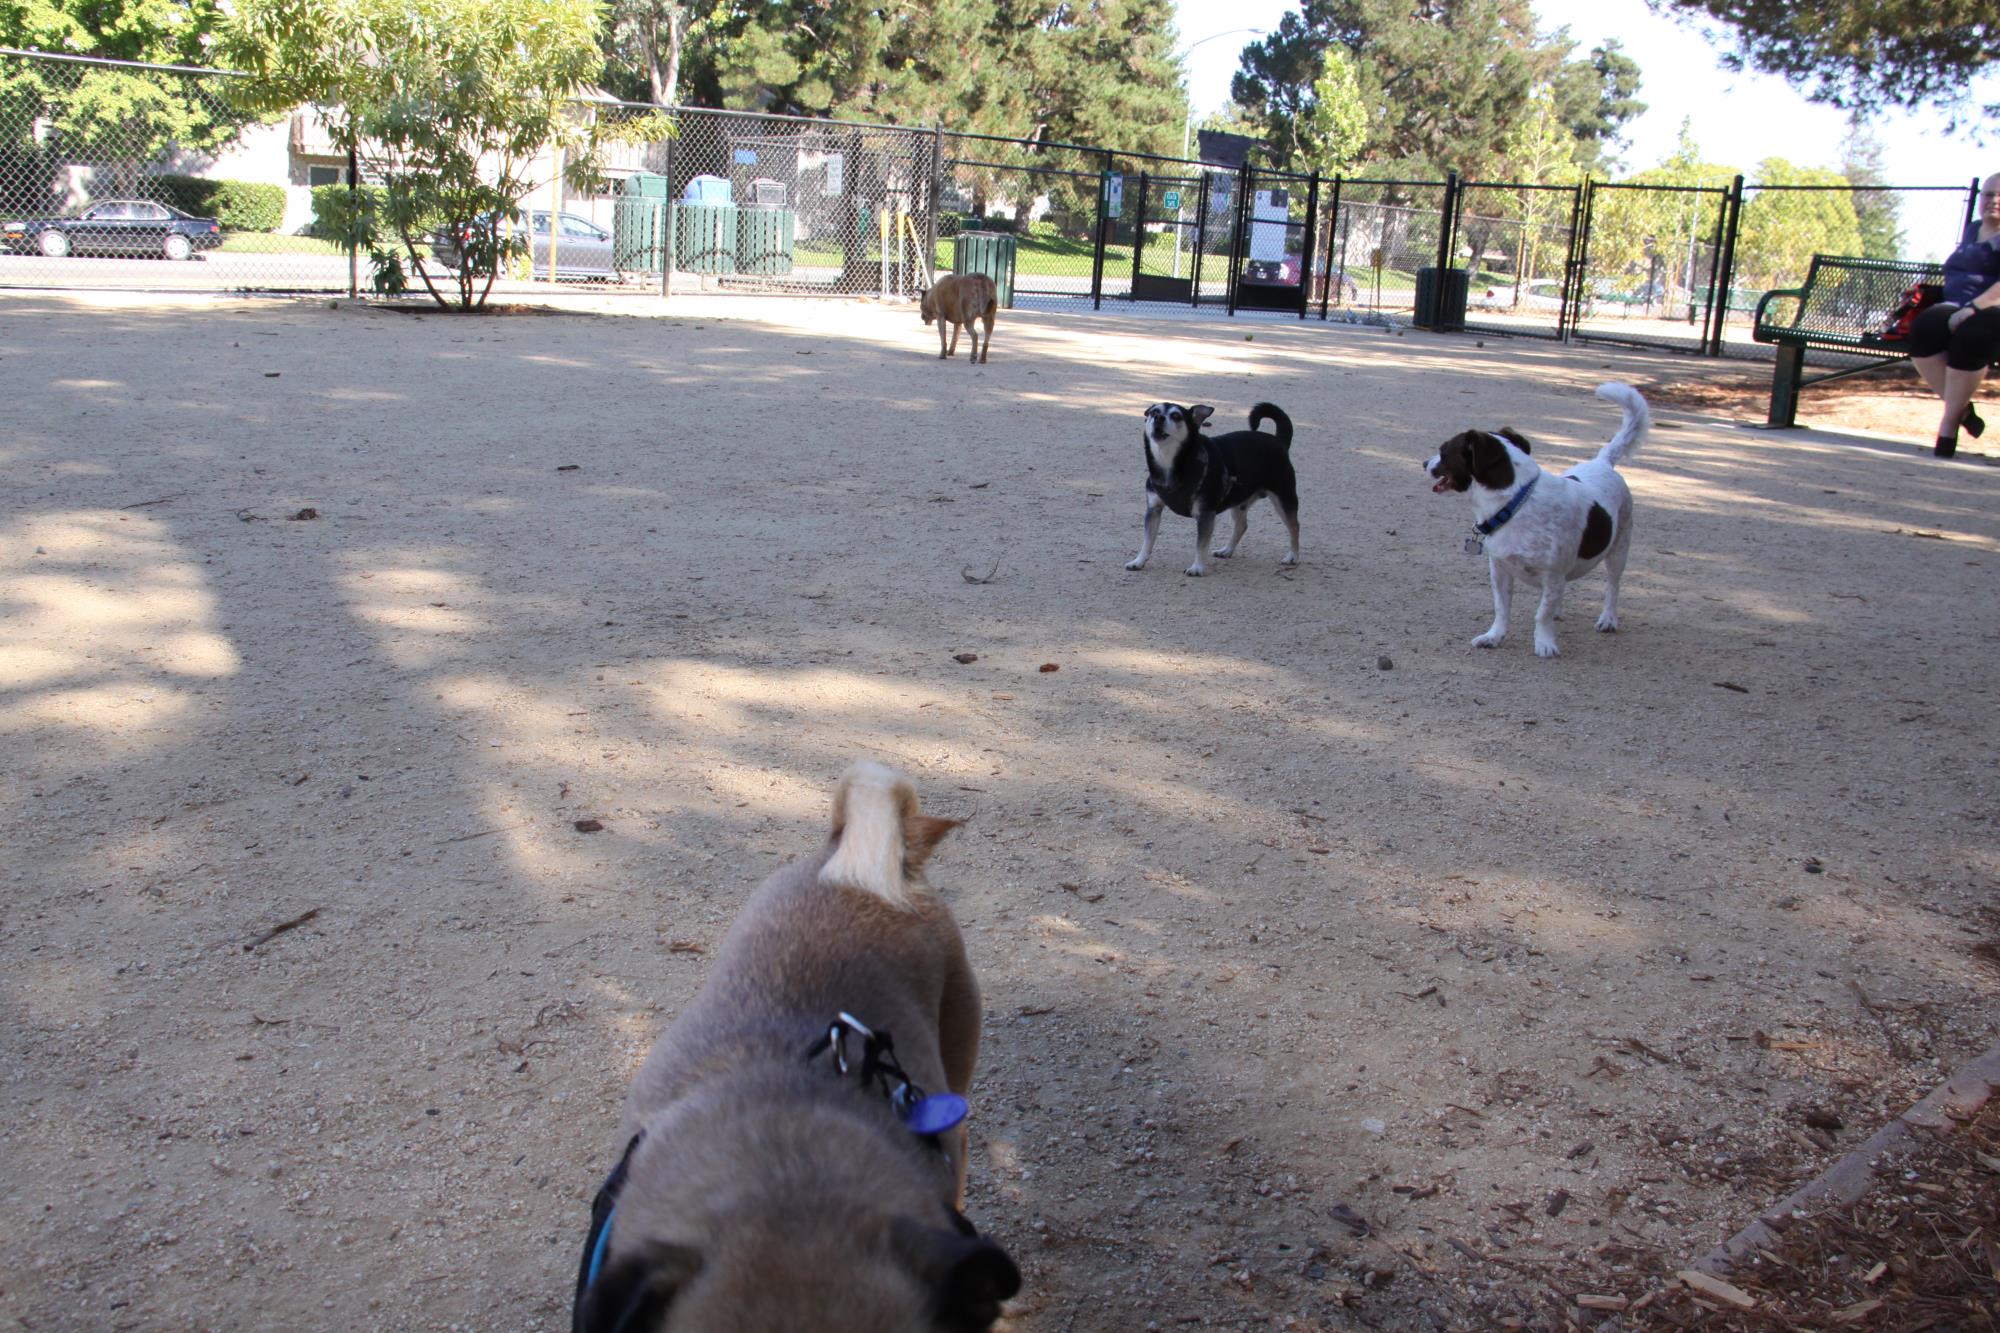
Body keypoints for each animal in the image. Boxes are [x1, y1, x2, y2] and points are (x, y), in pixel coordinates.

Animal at [1128, 402, 1296, 572]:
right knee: (1242, 525)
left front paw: (1197, 567)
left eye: (1176, 416)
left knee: (1294, 526)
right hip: (1237, 501)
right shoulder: (1153, 510)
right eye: (1154, 412)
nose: (1159, 418)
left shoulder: (1205, 513)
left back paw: (1293, 556)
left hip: (1284, 498)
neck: (1169, 464)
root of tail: (1278, 440)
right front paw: (1139, 561)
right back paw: (1227, 550)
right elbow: (1147, 540)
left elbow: (1201, 545)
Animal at [1432, 382, 1648, 656]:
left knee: (1612, 586)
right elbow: (1502, 609)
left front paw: (1544, 642)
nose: (1424, 463)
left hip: (1619, 550)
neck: (1516, 503)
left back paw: (1608, 618)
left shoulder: (1552, 574)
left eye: (1443, 452)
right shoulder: (1500, 570)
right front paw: (1494, 636)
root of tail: (1602, 462)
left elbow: (1541, 614)